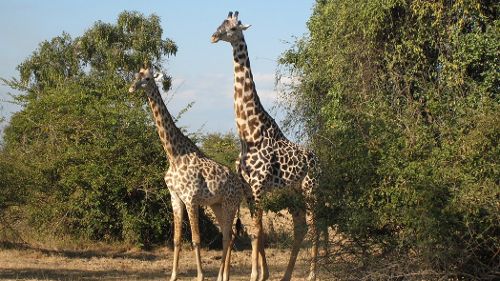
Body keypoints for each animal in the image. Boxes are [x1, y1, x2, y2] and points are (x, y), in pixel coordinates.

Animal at [129, 66, 246, 278]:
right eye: (135, 76)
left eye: (147, 78)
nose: (132, 88)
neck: (173, 155)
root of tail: (241, 185)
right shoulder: (175, 197)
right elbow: (177, 239)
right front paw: (173, 275)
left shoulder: (191, 198)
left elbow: (195, 239)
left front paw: (200, 275)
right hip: (217, 204)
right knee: (229, 234)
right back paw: (224, 275)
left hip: (230, 203)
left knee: (228, 235)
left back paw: (221, 275)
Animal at [211, 11, 320, 280]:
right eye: (220, 23)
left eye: (233, 28)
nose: (214, 36)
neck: (249, 134)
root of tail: (318, 159)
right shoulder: (248, 189)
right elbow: (255, 232)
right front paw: (264, 274)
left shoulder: (259, 186)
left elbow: (257, 231)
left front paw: (254, 274)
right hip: (292, 193)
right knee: (300, 227)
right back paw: (286, 275)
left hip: (310, 188)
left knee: (316, 225)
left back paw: (312, 274)